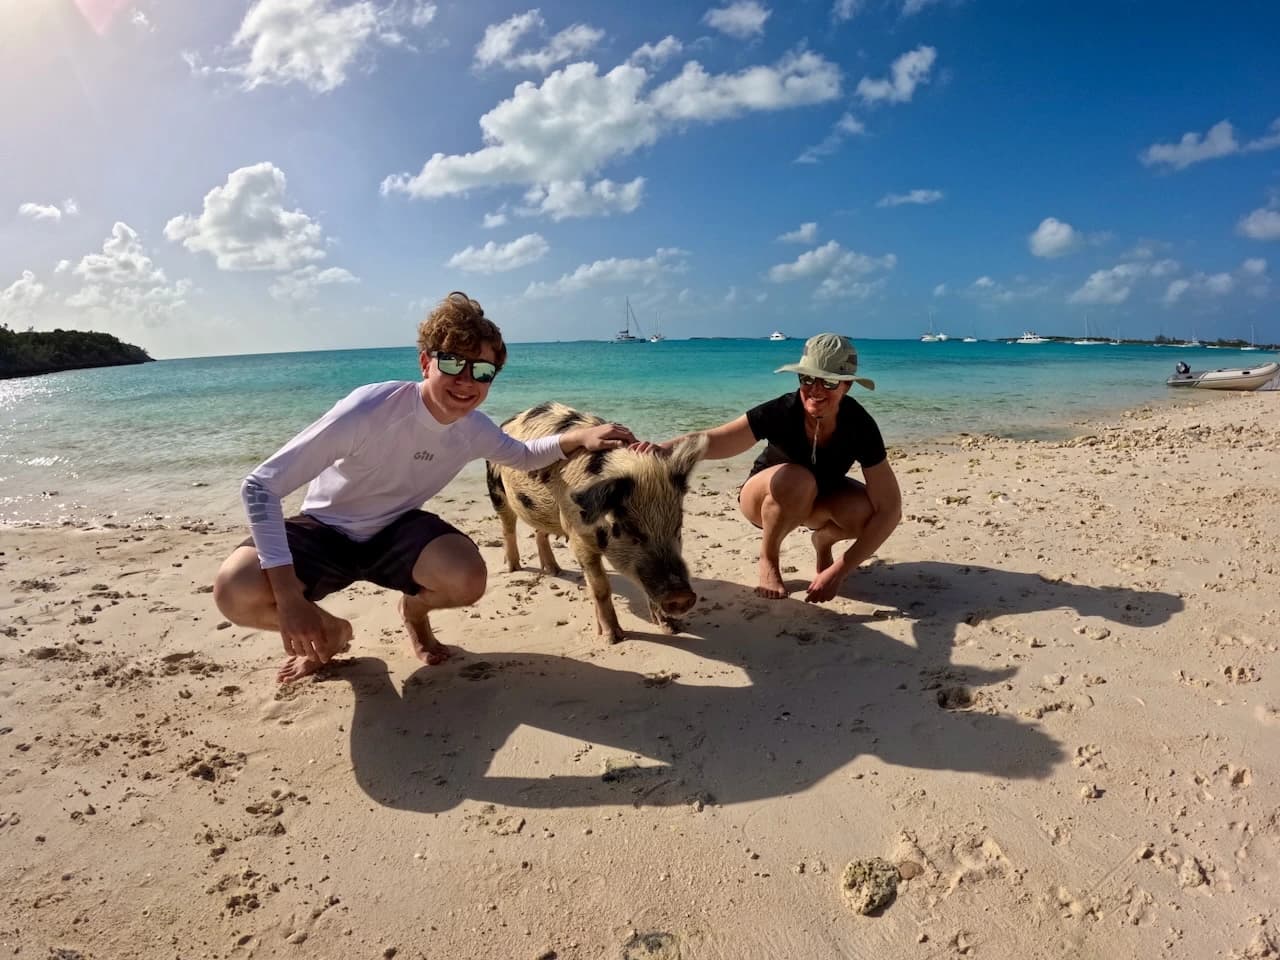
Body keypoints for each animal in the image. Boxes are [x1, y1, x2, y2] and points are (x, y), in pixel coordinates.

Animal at [486, 402, 707, 643]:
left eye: (677, 527)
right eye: (629, 529)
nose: (682, 595)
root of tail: (509, 420)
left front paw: (672, 628)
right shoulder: (577, 535)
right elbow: (600, 587)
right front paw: (613, 638)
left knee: (540, 531)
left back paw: (555, 571)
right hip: (496, 488)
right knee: (508, 527)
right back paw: (513, 568)